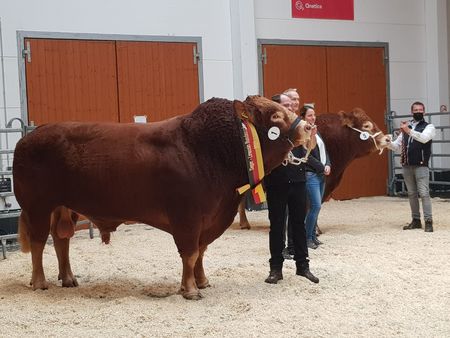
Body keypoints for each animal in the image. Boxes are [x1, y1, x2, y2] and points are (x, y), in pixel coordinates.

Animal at [11, 96, 312, 300]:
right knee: (39, 243)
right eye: (275, 116)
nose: (308, 128)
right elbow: (190, 253)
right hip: (37, 207)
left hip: (64, 207)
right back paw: (40, 282)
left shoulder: (208, 219)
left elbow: (201, 252)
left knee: (61, 241)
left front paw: (202, 281)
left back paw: (68, 278)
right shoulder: (187, 218)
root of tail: (29, 137)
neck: (207, 149)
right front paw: (190, 289)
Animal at [239, 108, 390, 230]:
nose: (387, 139)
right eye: (366, 125)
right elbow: (309, 206)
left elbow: (317, 206)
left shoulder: (328, 183)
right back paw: (244, 223)